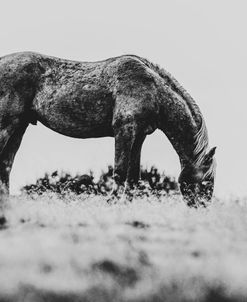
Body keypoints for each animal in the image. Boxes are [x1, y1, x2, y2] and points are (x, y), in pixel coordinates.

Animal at [0, 53, 216, 206]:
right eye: (207, 181)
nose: (202, 208)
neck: (152, 89)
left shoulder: (139, 136)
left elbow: (133, 175)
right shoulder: (124, 130)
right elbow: (120, 171)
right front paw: (112, 201)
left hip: (19, 127)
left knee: (6, 165)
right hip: (6, 125)